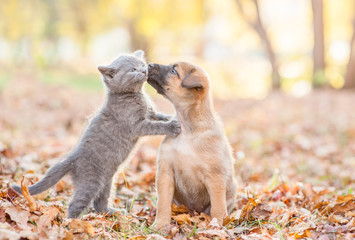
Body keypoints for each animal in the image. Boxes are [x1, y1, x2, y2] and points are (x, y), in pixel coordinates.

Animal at [11, 49, 181, 218]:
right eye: (133, 70)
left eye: (142, 65)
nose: (145, 70)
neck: (135, 96)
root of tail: (73, 157)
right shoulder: (137, 125)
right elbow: (155, 126)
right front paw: (172, 126)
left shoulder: (151, 113)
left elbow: (158, 116)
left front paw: (170, 117)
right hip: (92, 181)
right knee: (75, 204)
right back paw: (73, 222)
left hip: (108, 180)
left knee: (99, 202)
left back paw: (112, 212)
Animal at [147, 61, 236, 230]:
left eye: (174, 70)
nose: (149, 64)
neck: (187, 130)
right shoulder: (165, 173)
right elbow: (163, 204)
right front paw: (160, 224)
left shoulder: (215, 177)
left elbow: (218, 207)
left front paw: (216, 225)